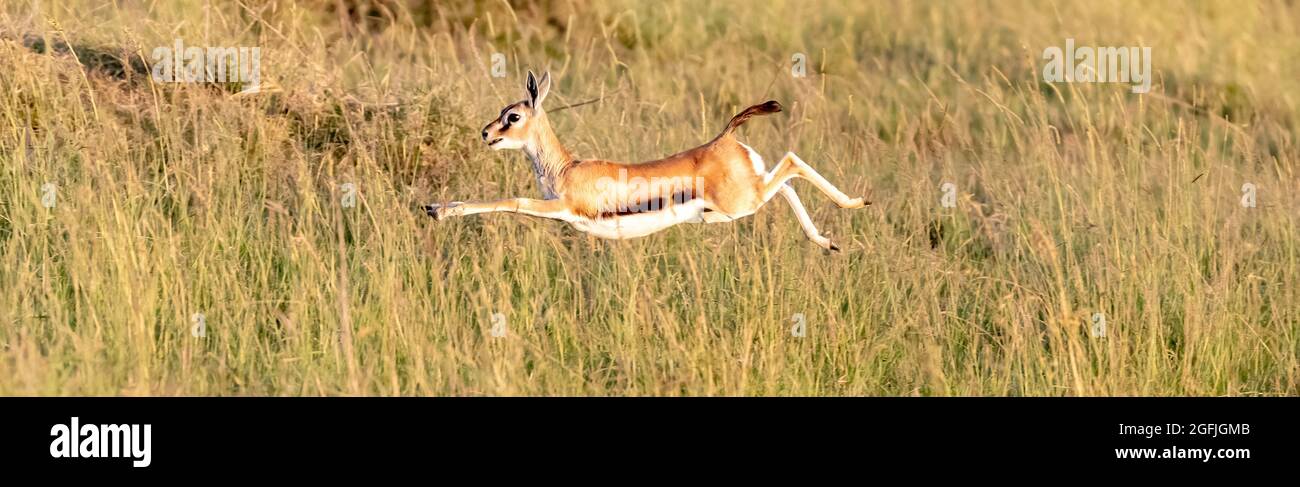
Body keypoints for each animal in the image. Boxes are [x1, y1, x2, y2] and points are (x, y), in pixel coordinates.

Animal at [425, 71, 869, 251]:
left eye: (513, 116)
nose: (486, 134)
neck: (566, 170)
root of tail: (724, 137)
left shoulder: (560, 207)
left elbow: (509, 201)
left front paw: (438, 209)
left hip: (742, 202)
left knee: (792, 163)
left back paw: (857, 203)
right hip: (737, 205)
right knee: (787, 182)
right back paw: (828, 241)